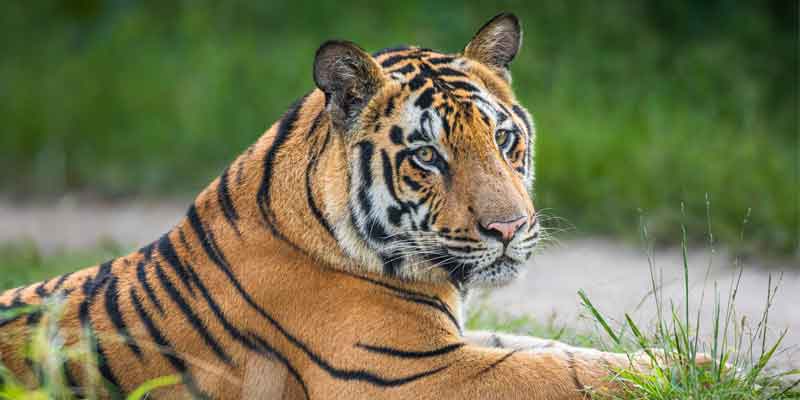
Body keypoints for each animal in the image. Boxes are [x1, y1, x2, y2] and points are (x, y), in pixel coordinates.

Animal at [0, 12, 708, 400]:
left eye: (504, 139)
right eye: (427, 156)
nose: (510, 228)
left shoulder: (450, 341)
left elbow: (563, 351)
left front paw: (696, 362)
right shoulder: (418, 372)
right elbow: (564, 374)